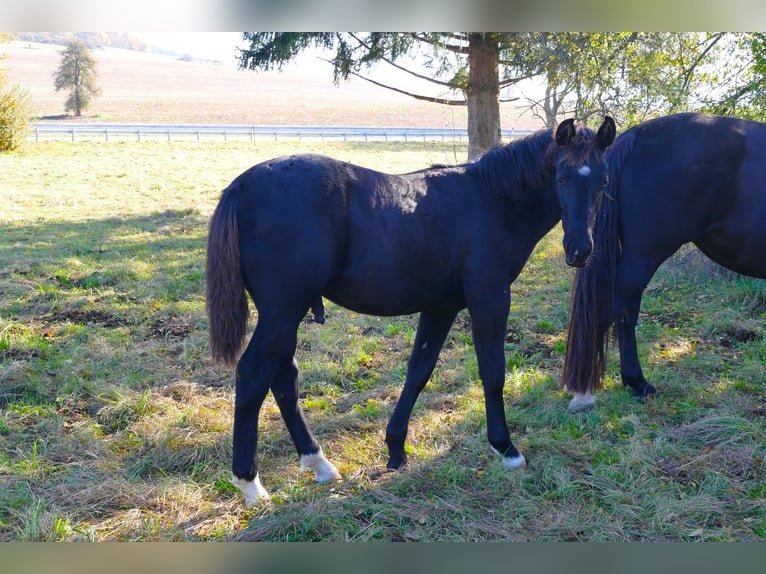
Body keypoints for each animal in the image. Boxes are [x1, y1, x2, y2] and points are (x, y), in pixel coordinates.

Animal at [206, 118, 616, 504]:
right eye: (561, 177)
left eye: (602, 181)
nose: (579, 251)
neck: (492, 200)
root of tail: (241, 186)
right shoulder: (490, 297)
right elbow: (492, 371)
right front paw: (505, 448)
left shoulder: (441, 307)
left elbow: (419, 371)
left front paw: (396, 449)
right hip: (282, 311)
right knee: (254, 375)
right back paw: (250, 483)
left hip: (285, 314)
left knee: (283, 378)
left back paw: (318, 463)